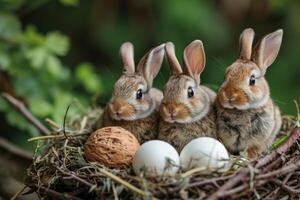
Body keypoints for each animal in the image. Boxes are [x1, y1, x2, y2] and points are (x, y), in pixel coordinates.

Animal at [216, 28, 284, 159]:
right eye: (225, 76)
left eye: (252, 80)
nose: (229, 95)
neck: (240, 111)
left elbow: (256, 146)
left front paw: (251, 155)